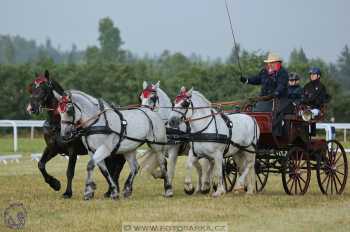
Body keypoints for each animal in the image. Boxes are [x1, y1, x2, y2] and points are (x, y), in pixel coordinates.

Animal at [27, 70, 126, 198]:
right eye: (32, 88)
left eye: (44, 88)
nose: (31, 108)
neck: (58, 123)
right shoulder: (52, 148)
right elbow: (41, 165)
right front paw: (54, 184)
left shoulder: (72, 150)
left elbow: (69, 172)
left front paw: (67, 192)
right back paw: (110, 190)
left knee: (117, 167)